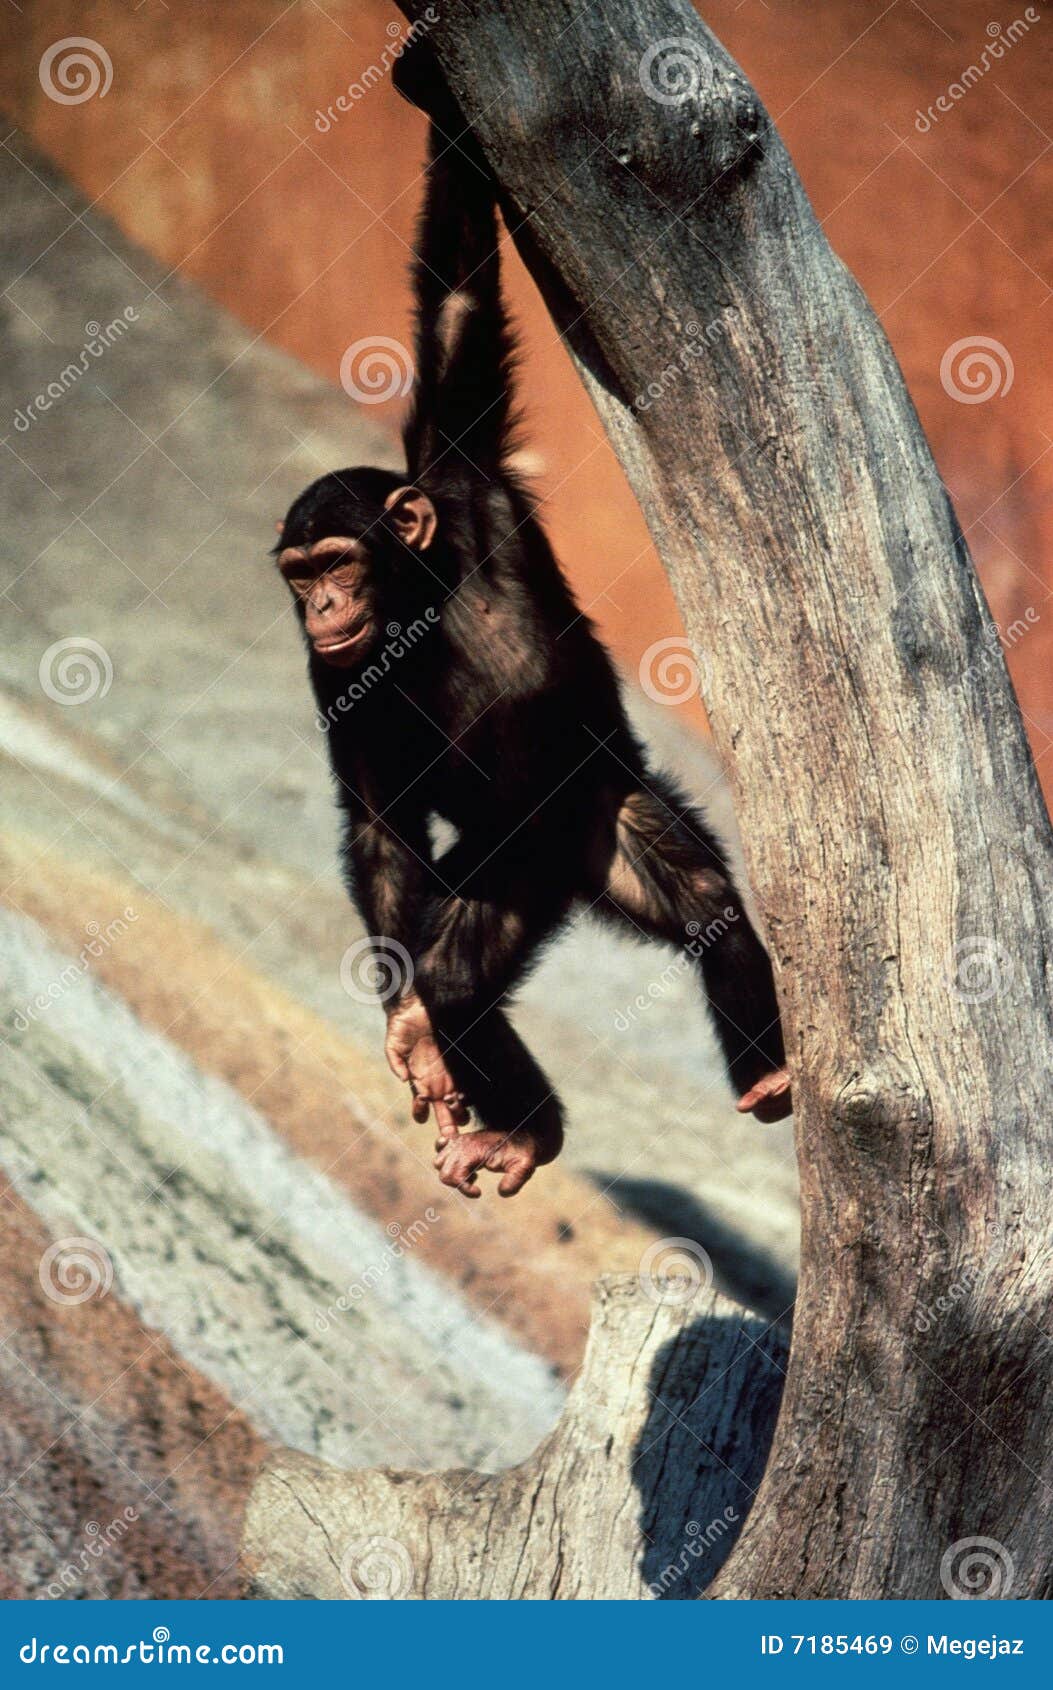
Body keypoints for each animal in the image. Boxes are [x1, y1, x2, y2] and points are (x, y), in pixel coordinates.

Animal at [275, 101, 791, 1201]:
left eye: (337, 558)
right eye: (298, 574)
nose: (322, 601)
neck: (421, 603)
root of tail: (568, 882)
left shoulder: (466, 473)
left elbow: (459, 300)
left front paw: (438, 97)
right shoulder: (331, 677)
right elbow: (381, 826)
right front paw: (408, 1027)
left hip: (600, 812)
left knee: (705, 902)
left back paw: (763, 1071)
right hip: (521, 874)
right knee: (462, 977)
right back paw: (524, 1125)